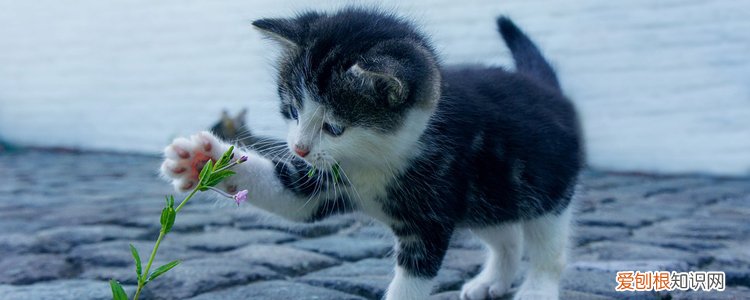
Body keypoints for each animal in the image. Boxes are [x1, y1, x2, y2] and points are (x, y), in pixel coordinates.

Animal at [162, 8, 584, 300]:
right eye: (293, 110)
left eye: (334, 127)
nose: (299, 148)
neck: (379, 159)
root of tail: (548, 89)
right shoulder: (328, 178)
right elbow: (292, 198)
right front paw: (201, 159)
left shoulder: (429, 218)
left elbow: (412, 280)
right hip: (488, 196)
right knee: (506, 234)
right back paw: (492, 280)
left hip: (546, 189)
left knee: (547, 245)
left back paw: (536, 288)